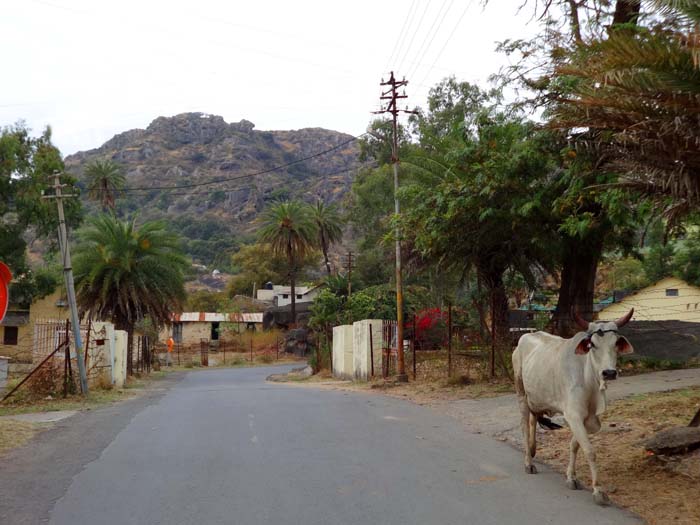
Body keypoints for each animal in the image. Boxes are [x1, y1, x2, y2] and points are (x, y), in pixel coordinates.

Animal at [516, 310, 636, 506]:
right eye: (592, 344)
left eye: (616, 343)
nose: (609, 373)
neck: (590, 381)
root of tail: (527, 335)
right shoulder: (573, 415)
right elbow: (590, 451)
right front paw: (598, 490)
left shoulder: (589, 419)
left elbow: (574, 445)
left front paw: (571, 477)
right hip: (521, 395)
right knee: (525, 427)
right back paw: (528, 462)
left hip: (536, 398)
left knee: (534, 419)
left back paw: (533, 450)